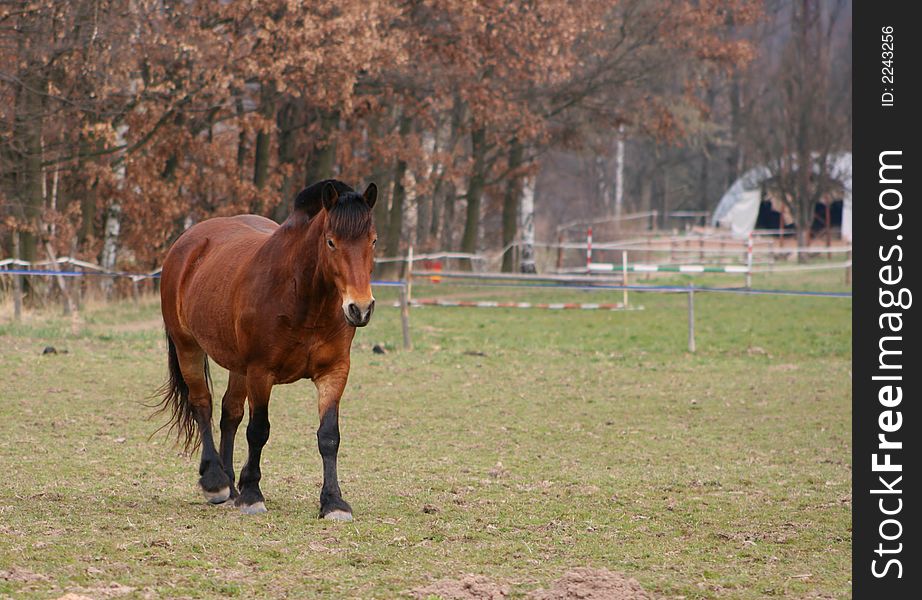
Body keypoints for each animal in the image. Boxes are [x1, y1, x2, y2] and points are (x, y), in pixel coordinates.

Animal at [156, 179, 376, 520]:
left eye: (373, 241)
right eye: (331, 242)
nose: (360, 308)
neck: (303, 298)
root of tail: (188, 243)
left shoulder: (334, 372)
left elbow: (329, 436)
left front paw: (333, 501)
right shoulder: (261, 372)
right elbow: (258, 430)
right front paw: (252, 494)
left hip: (238, 367)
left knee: (229, 413)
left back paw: (230, 485)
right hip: (188, 347)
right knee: (202, 405)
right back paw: (216, 481)